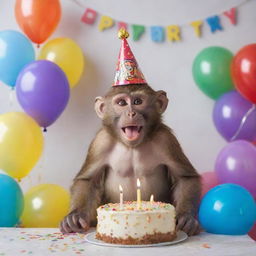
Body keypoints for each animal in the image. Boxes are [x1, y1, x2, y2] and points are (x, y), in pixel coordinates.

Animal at [60, 83, 202, 236]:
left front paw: (187, 217)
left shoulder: (165, 139)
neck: (132, 146)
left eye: (138, 102)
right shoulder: (100, 142)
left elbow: (185, 177)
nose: (131, 113)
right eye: (122, 103)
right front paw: (75, 216)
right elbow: (87, 180)